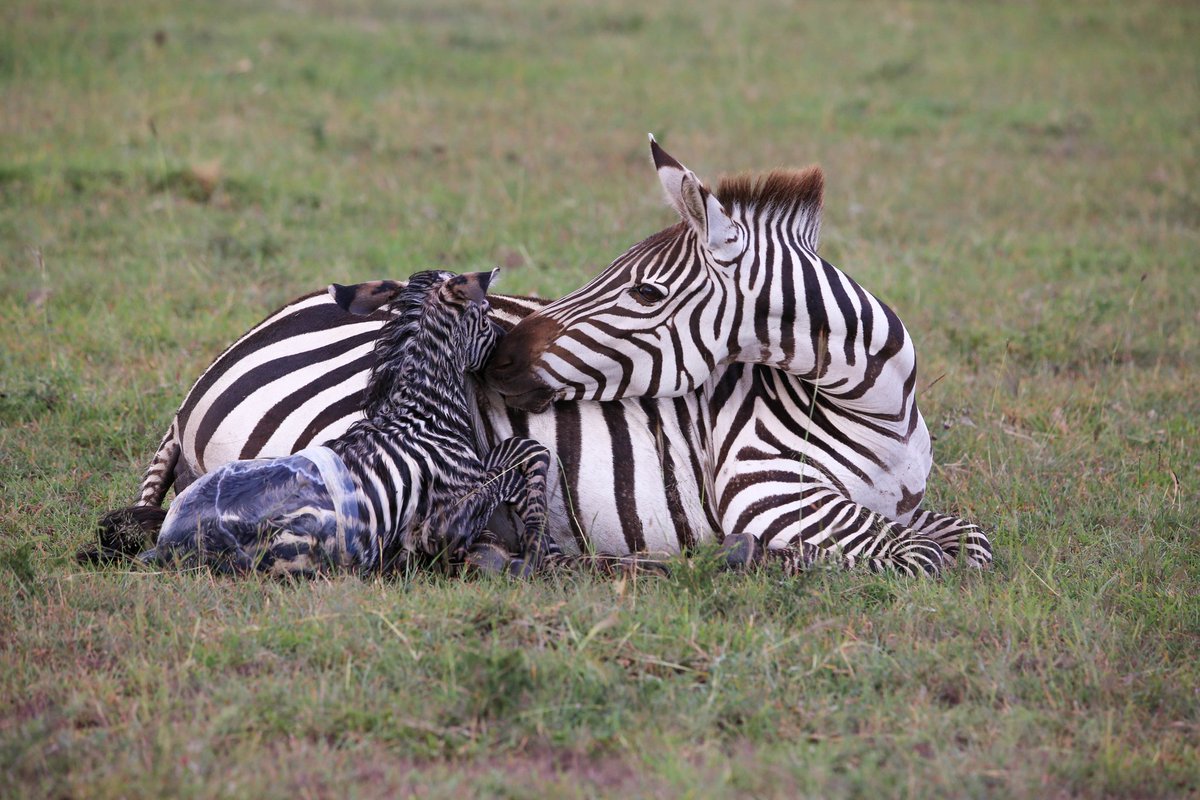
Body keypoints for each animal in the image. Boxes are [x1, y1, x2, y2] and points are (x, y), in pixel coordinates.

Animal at [137, 269, 559, 577]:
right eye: (486, 313)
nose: (509, 350)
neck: (421, 413)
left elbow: (520, 453)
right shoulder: (443, 523)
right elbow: (518, 465)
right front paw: (541, 543)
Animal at [485, 136, 992, 575]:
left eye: (646, 292)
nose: (499, 354)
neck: (880, 411)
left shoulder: (902, 509)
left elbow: (971, 540)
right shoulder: (770, 489)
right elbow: (923, 555)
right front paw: (762, 555)